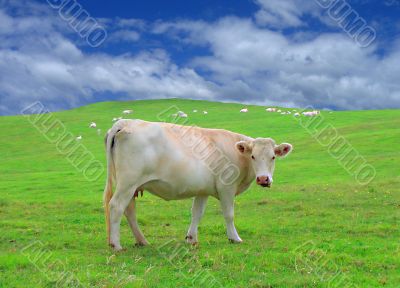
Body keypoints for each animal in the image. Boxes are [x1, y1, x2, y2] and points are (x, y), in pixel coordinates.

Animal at [102, 118, 290, 250]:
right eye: (253, 156)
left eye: (273, 157)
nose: (264, 179)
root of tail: (125, 122)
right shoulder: (226, 187)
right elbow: (229, 214)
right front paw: (234, 238)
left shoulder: (202, 190)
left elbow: (197, 214)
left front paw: (191, 239)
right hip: (128, 183)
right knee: (116, 207)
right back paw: (116, 245)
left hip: (131, 186)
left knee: (129, 211)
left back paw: (142, 241)